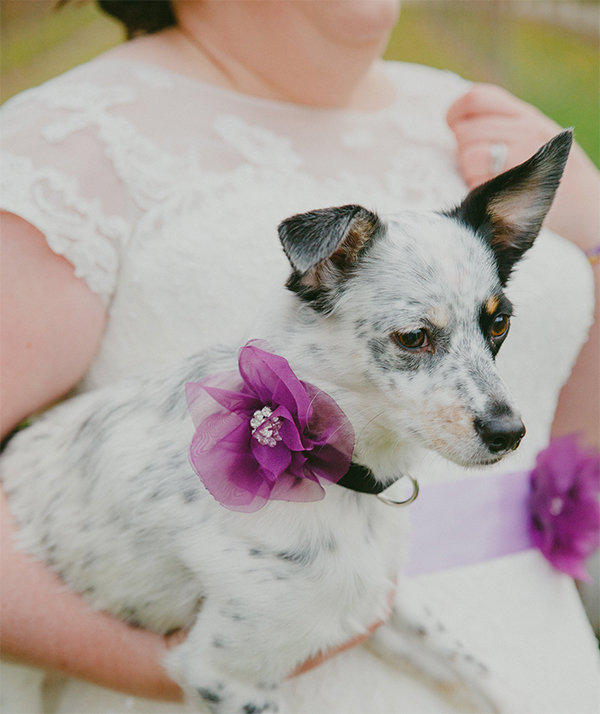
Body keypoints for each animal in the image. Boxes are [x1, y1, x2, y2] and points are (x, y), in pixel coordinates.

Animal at [0, 131, 572, 708]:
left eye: (498, 324)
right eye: (413, 336)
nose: (510, 434)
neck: (326, 467)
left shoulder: (371, 602)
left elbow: (472, 668)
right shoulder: (224, 673)